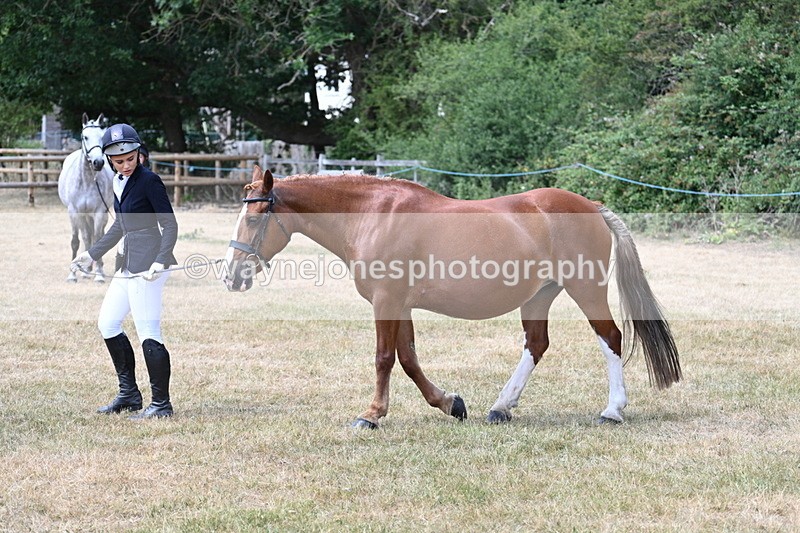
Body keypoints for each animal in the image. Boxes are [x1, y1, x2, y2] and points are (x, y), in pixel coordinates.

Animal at [58, 113, 114, 283]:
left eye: (102, 137)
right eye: (85, 137)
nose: (98, 162)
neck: (87, 181)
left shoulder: (99, 212)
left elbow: (98, 239)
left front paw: (99, 275)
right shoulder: (75, 212)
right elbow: (76, 241)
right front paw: (72, 275)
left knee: (97, 235)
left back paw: (95, 269)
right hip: (84, 215)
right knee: (86, 237)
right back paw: (86, 270)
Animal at [224, 166, 682, 428]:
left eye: (254, 218)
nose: (232, 276)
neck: (373, 215)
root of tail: (590, 205)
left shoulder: (386, 301)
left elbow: (384, 358)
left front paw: (371, 415)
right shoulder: (400, 305)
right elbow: (408, 360)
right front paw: (450, 404)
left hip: (585, 289)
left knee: (611, 339)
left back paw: (612, 410)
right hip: (539, 295)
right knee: (536, 344)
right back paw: (500, 408)